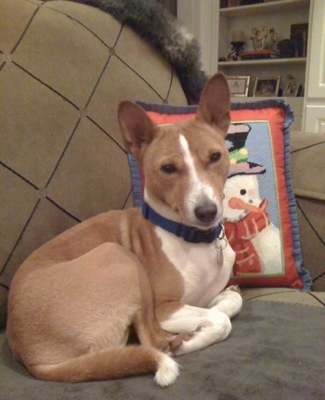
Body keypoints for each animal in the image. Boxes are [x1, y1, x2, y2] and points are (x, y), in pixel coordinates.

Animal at [6, 72, 242, 388]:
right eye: (168, 168)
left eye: (215, 157)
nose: (206, 212)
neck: (193, 238)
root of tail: (33, 359)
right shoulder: (164, 307)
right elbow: (220, 320)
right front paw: (196, 332)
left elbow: (231, 300)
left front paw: (215, 307)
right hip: (119, 256)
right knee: (152, 341)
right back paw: (178, 341)